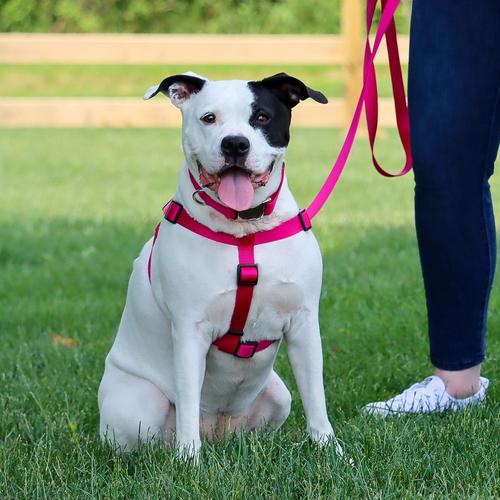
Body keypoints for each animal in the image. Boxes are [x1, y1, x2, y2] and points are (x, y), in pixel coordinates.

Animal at [97, 71, 342, 460]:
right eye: (208, 118)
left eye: (262, 117)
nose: (235, 144)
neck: (245, 232)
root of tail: (216, 430)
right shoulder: (189, 331)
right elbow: (186, 405)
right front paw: (188, 462)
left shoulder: (303, 323)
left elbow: (316, 400)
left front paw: (331, 453)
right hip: (139, 406)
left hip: (278, 395)